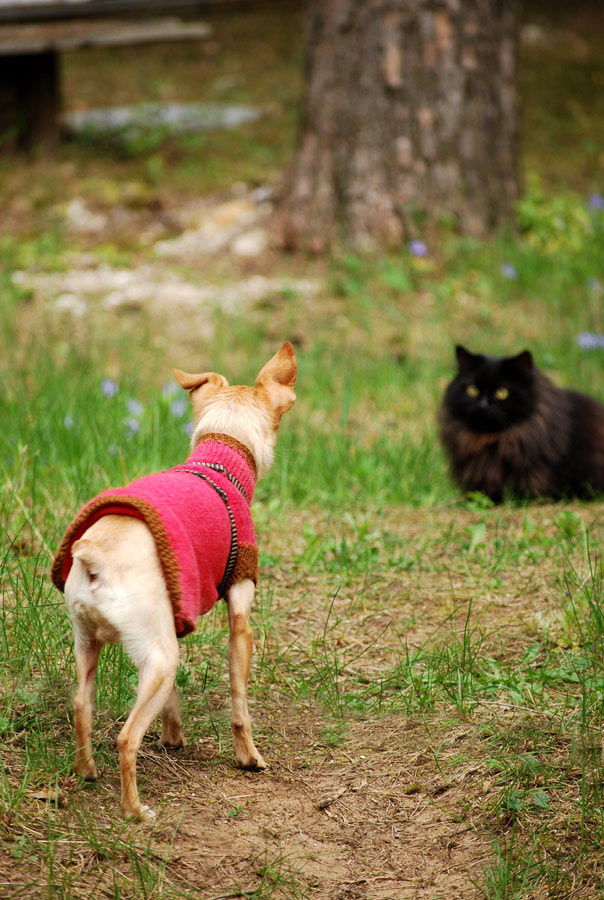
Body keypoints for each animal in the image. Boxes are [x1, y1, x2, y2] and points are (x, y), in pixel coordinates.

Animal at [51, 342, 297, 820]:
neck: (219, 460)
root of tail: (93, 554)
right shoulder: (240, 617)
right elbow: (239, 703)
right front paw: (248, 758)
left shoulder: (175, 618)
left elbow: (172, 702)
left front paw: (173, 736)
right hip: (161, 658)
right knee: (126, 738)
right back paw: (134, 811)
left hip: (97, 645)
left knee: (81, 707)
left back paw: (86, 771)